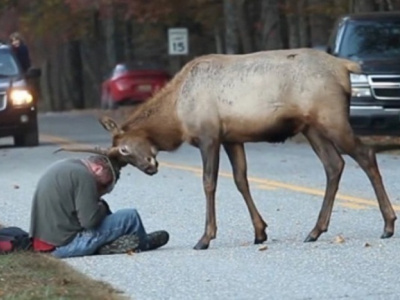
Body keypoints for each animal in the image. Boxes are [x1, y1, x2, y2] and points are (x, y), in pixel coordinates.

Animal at [57, 48, 400, 250]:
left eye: (124, 151)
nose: (151, 167)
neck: (177, 116)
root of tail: (345, 66)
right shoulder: (233, 138)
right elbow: (240, 180)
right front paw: (260, 232)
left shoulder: (209, 135)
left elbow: (209, 182)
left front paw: (205, 237)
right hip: (311, 127)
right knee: (334, 165)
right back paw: (315, 230)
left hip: (331, 118)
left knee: (366, 155)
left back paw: (387, 225)